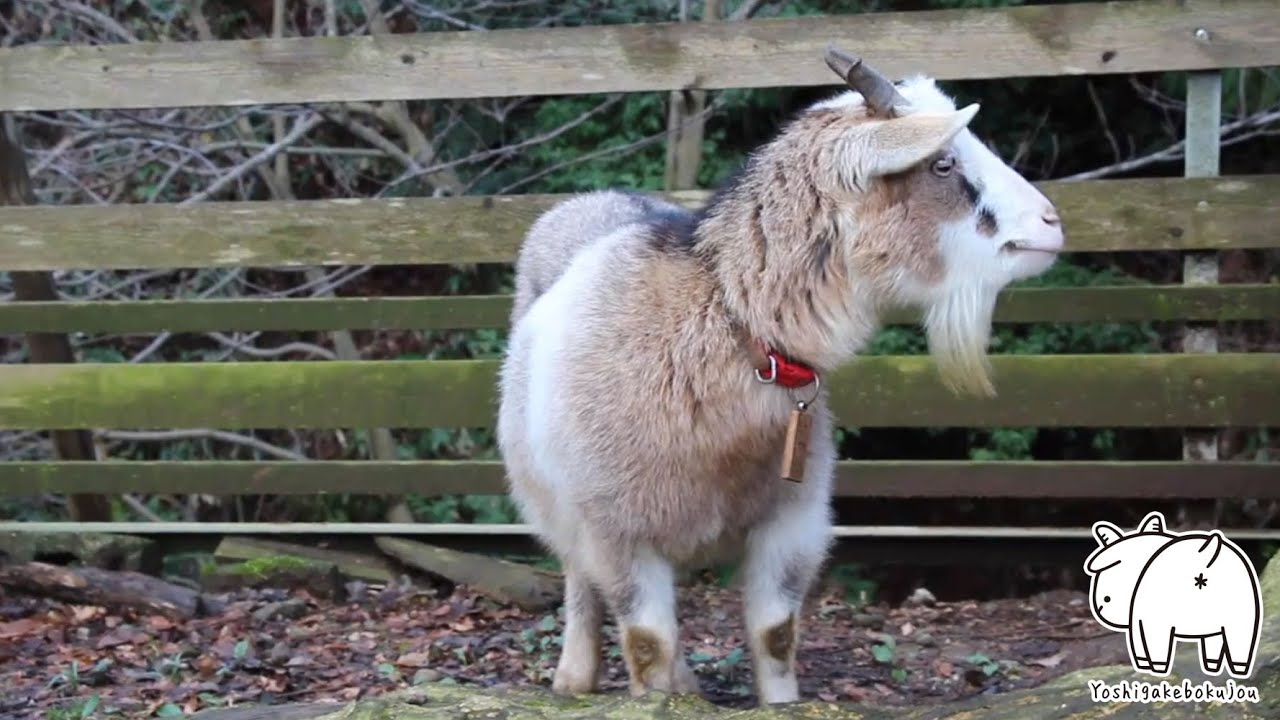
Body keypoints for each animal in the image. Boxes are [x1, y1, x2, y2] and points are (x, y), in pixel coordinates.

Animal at [496, 46, 1065, 705]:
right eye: (943, 163)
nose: (1051, 223)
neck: (724, 322)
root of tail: (591, 199)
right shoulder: (619, 532)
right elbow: (646, 643)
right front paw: (654, 698)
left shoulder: (792, 520)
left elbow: (774, 633)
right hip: (558, 506)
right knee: (577, 578)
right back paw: (575, 675)